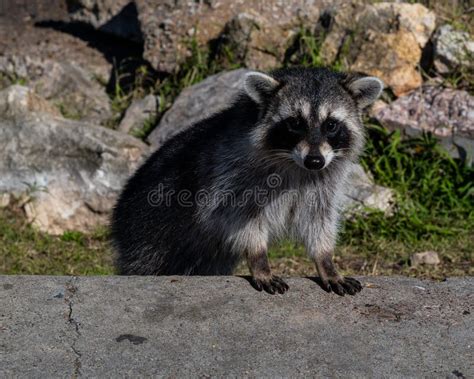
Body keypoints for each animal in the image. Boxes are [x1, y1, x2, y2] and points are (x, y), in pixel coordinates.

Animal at [112, 67, 386, 296]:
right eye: (295, 123)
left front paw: (326, 261)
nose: (315, 160)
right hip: (146, 235)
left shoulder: (323, 183)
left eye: (331, 124)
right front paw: (259, 260)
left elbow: (319, 221)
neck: (296, 164)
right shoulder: (232, 176)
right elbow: (240, 219)